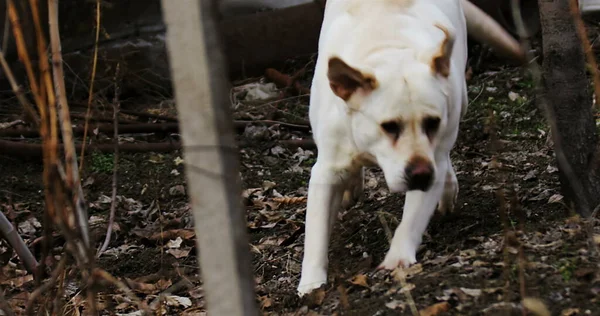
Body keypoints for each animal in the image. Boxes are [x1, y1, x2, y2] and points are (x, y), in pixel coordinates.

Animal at [298, 0, 524, 296]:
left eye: (432, 122)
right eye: (389, 126)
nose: (420, 174)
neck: (388, 47)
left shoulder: (432, 158)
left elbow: (412, 220)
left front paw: (397, 258)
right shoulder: (326, 169)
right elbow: (316, 230)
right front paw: (311, 283)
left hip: (459, 103)